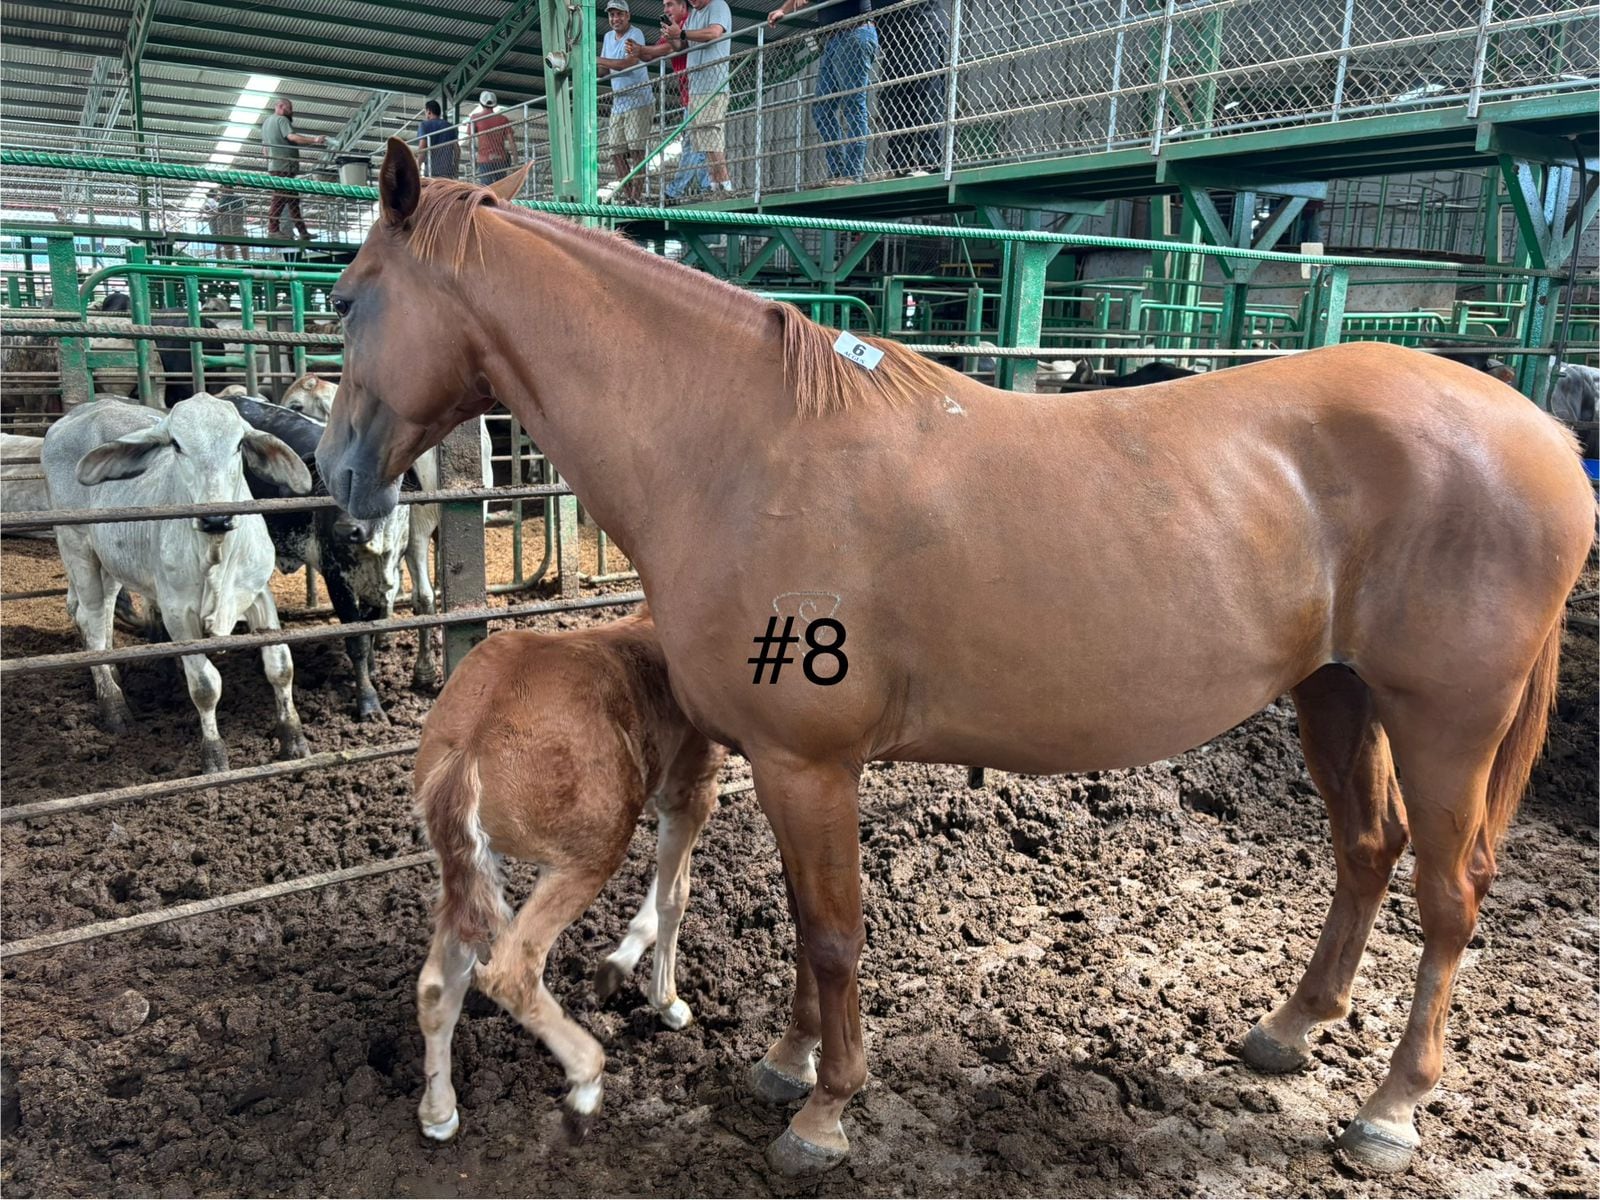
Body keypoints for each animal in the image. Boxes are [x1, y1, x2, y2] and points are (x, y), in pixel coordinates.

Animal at [413, 607, 724, 1140]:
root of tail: (469, 744)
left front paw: (614, 968)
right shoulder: (689, 793)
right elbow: (675, 896)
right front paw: (666, 1002)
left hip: (467, 865)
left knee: (437, 984)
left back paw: (439, 1112)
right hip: (588, 855)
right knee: (511, 971)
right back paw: (587, 1080)